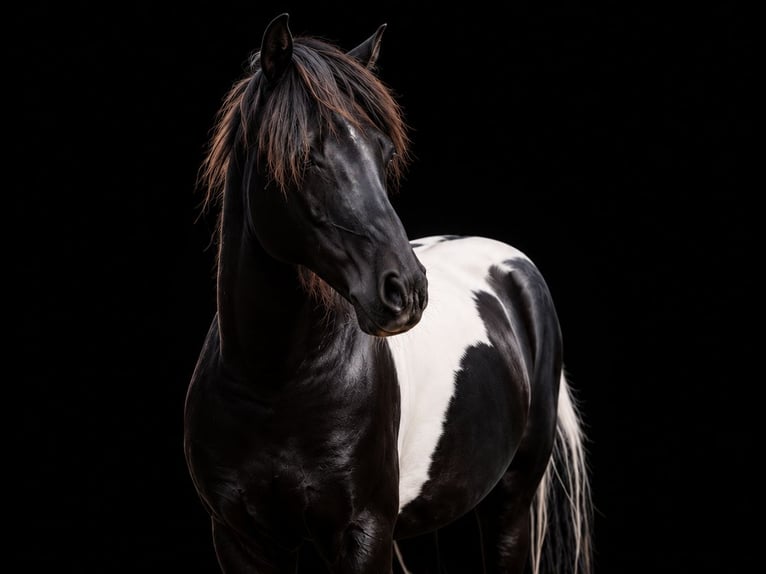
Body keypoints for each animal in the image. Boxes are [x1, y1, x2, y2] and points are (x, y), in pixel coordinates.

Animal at [184, 13, 593, 574]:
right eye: (305, 153)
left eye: (385, 152)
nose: (406, 290)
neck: (273, 385)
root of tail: (514, 267)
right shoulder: (238, 538)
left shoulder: (364, 532)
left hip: (511, 506)